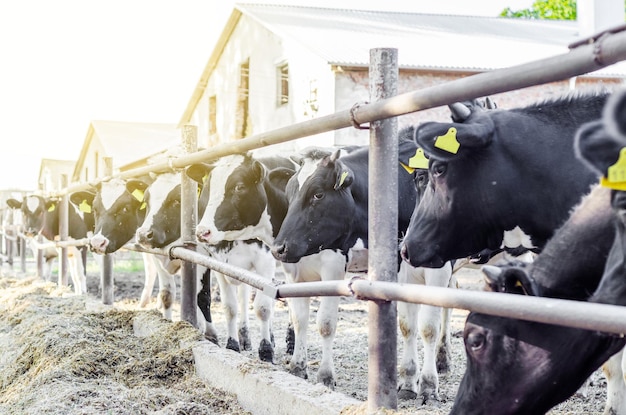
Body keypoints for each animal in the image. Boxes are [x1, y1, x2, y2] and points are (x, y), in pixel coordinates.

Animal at [270, 138, 450, 404]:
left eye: (318, 194)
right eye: (290, 193)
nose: (278, 248)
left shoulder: (334, 266)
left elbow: (326, 323)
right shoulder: (295, 273)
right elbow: (300, 319)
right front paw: (297, 367)